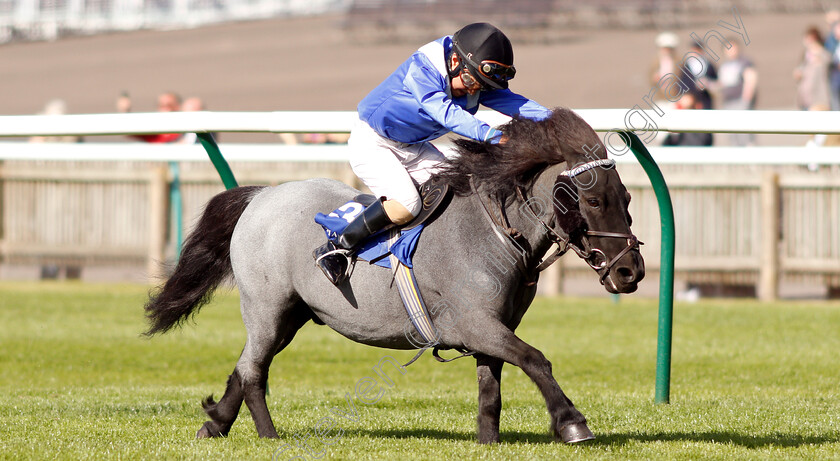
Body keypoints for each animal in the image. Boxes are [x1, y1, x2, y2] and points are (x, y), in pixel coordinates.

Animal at [143, 107, 644, 442]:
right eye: (593, 200)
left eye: (627, 199)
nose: (630, 271)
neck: (496, 231)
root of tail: (261, 195)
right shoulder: (475, 323)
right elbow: (536, 359)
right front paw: (572, 422)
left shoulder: (493, 328)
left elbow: (492, 389)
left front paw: (488, 440)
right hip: (267, 307)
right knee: (253, 370)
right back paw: (268, 435)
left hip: (292, 314)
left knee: (245, 364)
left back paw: (215, 423)